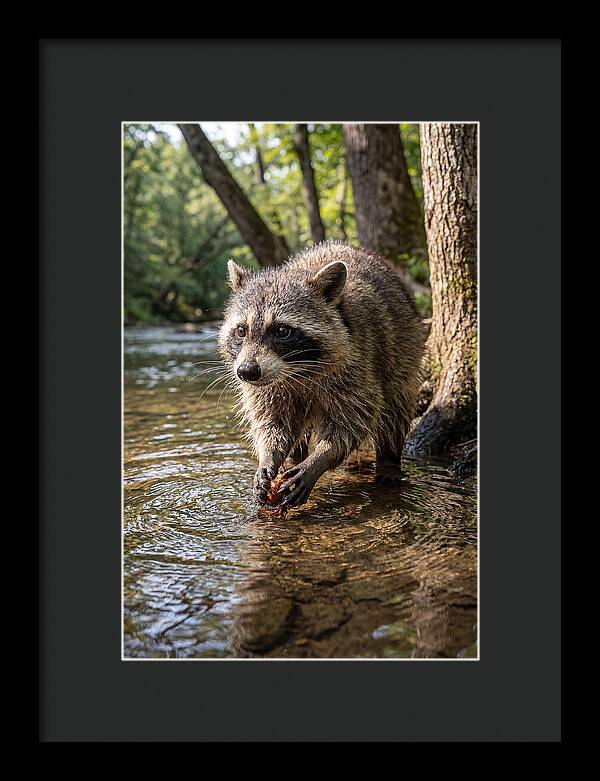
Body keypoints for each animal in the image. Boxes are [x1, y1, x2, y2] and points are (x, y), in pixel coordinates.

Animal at [218, 241, 426, 508]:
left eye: (282, 330)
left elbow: (354, 421)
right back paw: (294, 458)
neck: (296, 370)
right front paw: (268, 456)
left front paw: (320, 458)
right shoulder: (267, 387)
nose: (246, 372)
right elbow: (272, 423)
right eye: (241, 331)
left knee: (395, 411)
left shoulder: (358, 365)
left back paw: (389, 461)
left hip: (404, 351)